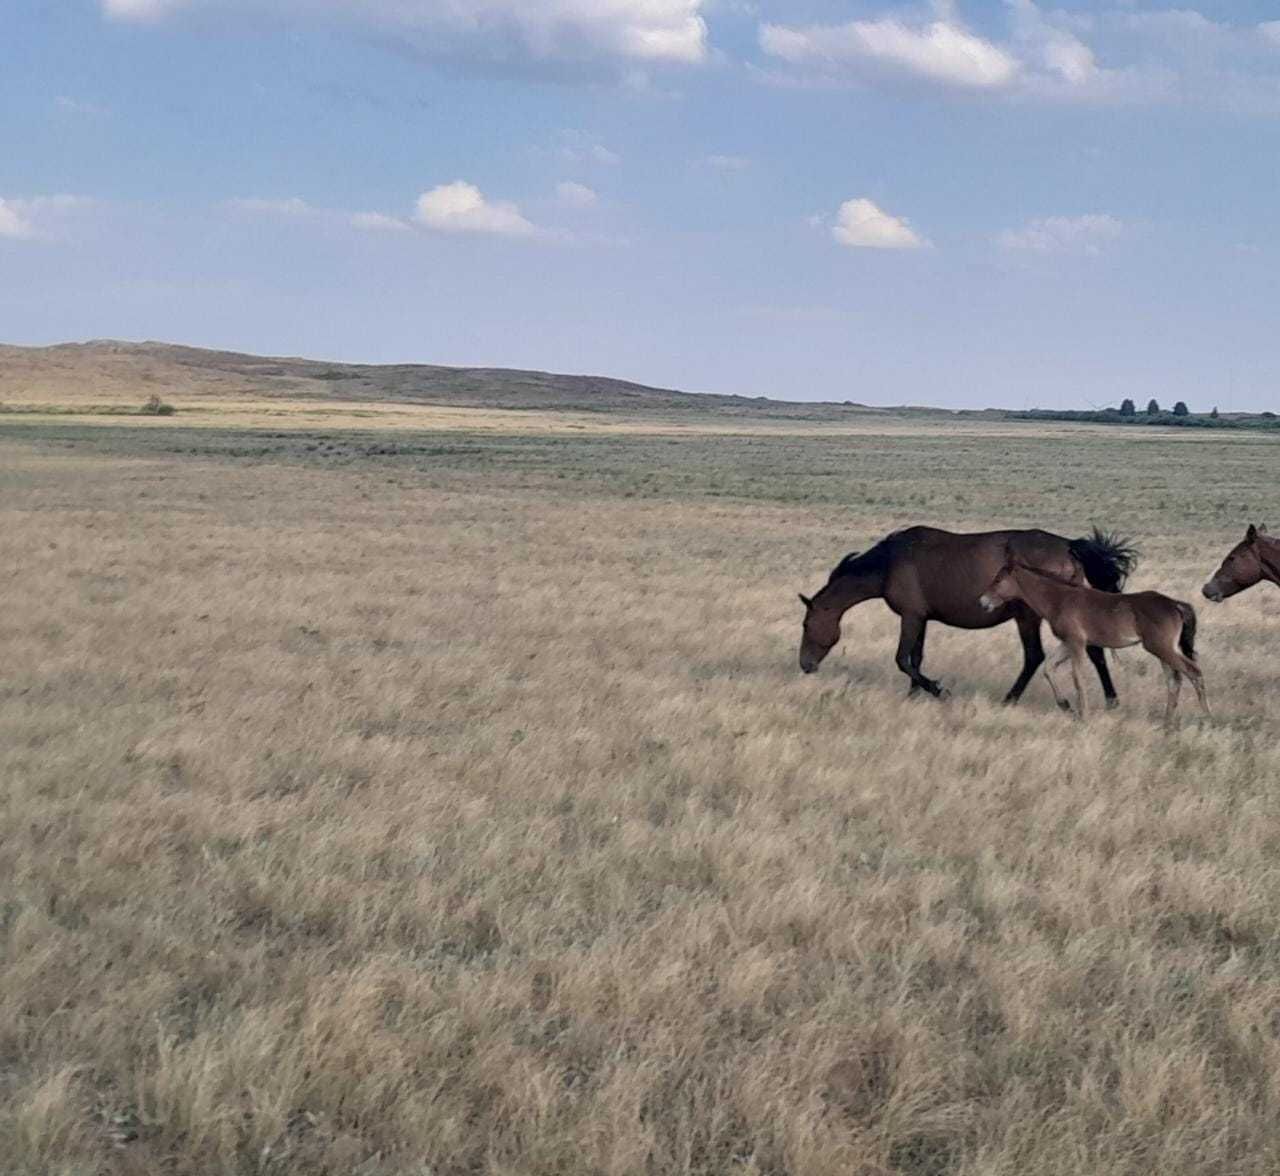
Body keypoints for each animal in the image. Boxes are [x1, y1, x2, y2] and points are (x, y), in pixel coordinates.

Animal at [793, 527, 1136, 706]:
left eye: (806, 624)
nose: (805, 666)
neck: (890, 563)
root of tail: (1069, 547)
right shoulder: (922, 618)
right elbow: (915, 657)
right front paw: (914, 695)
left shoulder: (910, 616)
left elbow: (902, 659)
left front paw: (938, 690)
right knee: (1094, 652)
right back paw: (1111, 700)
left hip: (1030, 617)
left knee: (1034, 656)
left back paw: (1010, 699)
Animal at [977, 560, 1208, 726]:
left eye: (998, 580)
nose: (983, 601)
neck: (1060, 599)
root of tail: (1175, 605)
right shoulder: (1068, 643)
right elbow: (1049, 668)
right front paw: (1066, 707)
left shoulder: (1076, 643)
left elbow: (1077, 677)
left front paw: (1083, 716)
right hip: (1162, 650)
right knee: (1174, 681)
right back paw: (1167, 723)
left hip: (1160, 647)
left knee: (1194, 672)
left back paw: (1207, 719)